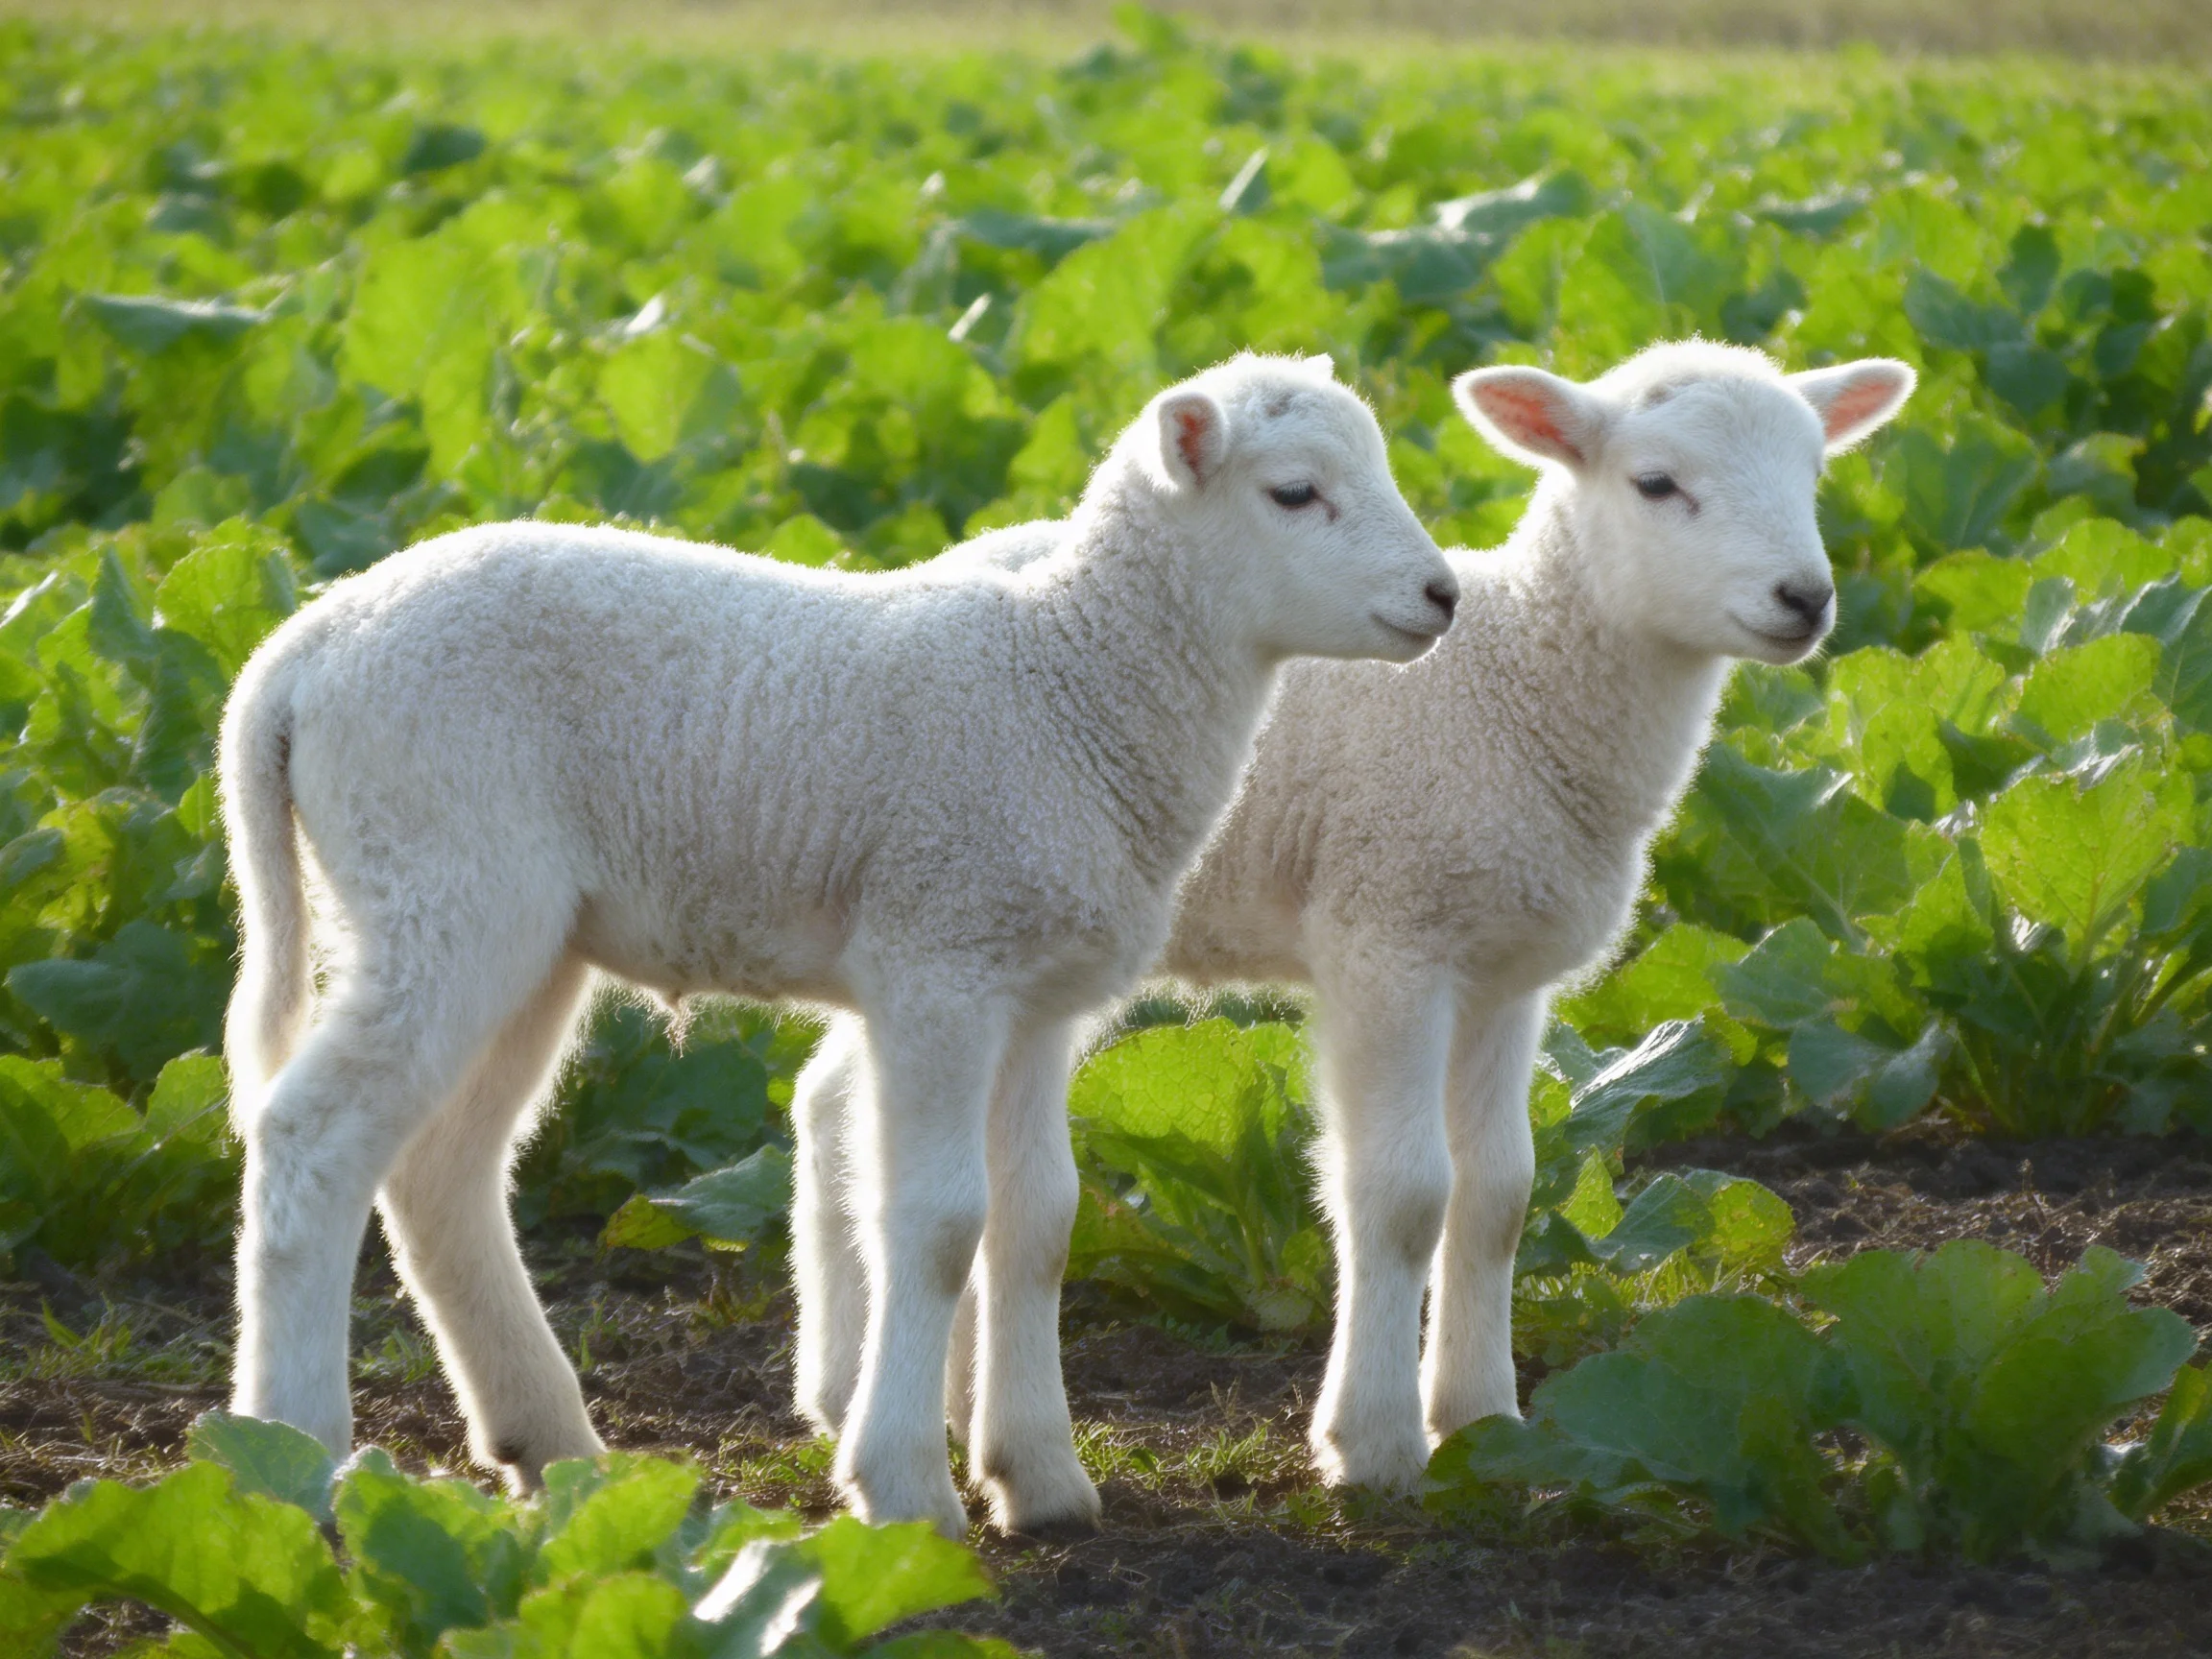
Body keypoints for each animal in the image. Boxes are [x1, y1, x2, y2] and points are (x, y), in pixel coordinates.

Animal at [217, 351, 1459, 1539]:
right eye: (1294, 493)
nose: (1442, 593)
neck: (1068, 684)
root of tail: (301, 649)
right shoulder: (936, 966)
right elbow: (939, 1221)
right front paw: (904, 1484)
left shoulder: (1039, 997)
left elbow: (1039, 1222)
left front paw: (1039, 1478)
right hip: (438, 884)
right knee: (311, 1137)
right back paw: (295, 1453)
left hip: (517, 932)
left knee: (442, 1173)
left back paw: (550, 1443)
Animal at [791, 340, 1915, 1497]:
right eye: (1656, 483)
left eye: (1814, 476)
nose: (1805, 598)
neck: (1523, 689)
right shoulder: (1390, 936)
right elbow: (1407, 1194)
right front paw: (1373, 1442)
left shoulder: (1507, 972)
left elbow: (1499, 1195)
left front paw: (1482, 1420)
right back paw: (866, 1401)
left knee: (829, 1100)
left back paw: (890, 1399)